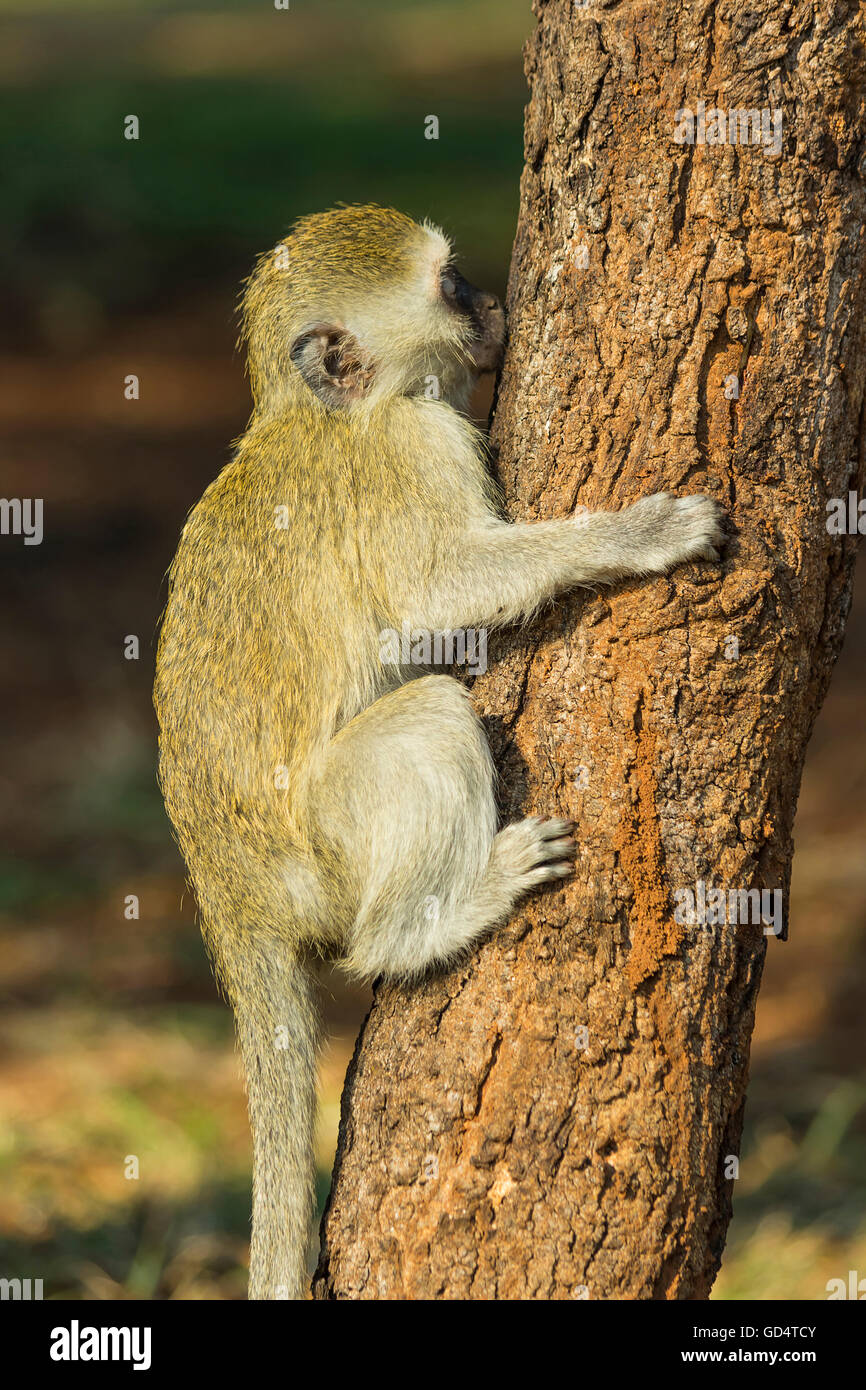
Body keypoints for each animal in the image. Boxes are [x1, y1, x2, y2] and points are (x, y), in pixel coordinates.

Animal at [154, 201, 722, 1295]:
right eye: (451, 287)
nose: (496, 301)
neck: (329, 412)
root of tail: (229, 890)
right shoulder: (417, 449)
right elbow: (440, 590)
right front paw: (635, 535)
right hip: (321, 851)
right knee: (429, 719)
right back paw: (430, 921)